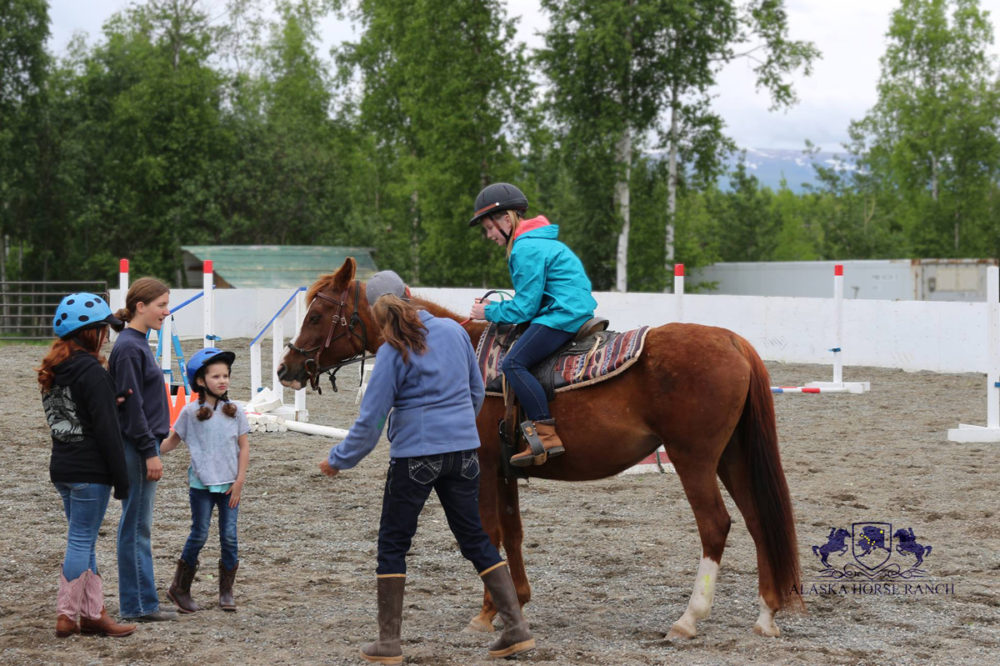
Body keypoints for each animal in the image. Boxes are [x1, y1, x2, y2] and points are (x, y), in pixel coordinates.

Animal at [276, 258, 802, 639]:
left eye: (317, 314)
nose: (286, 370)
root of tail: (732, 342)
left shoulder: (482, 468)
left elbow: (488, 533)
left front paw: (488, 612)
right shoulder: (505, 470)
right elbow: (512, 533)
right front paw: (516, 601)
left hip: (694, 459)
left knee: (716, 525)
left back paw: (689, 620)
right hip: (731, 458)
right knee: (758, 521)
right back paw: (766, 615)